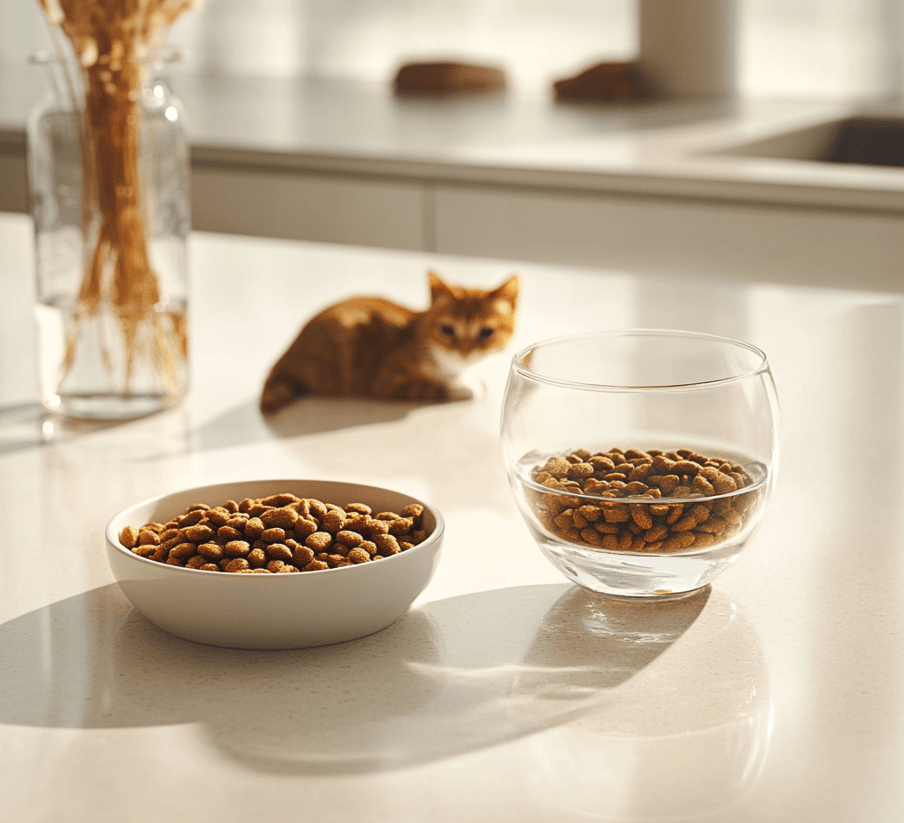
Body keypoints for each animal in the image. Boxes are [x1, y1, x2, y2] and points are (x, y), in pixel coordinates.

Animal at [258, 270, 520, 412]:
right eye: (447, 330)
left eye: (486, 332)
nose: (464, 351)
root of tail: (284, 355)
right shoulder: (386, 379)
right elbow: (436, 386)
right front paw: (466, 387)